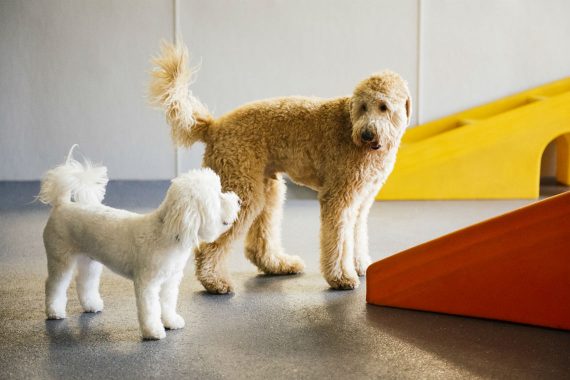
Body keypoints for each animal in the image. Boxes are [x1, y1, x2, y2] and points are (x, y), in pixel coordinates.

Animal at [37, 147, 237, 340]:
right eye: (217, 198)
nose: (238, 200)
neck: (167, 233)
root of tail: (62, 205)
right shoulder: (147, 283)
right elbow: (150, 310)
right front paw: (153, 331)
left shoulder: (170, 280)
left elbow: (168, 303)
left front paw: (171, 321)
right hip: (60, 259)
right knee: (54, 285)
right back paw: (54, 311)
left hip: (90, 261)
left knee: (84, 282)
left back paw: (92, 305)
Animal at [150, 43, 408, 292]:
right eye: (362, 107)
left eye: (383, 107)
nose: (366, 134)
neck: (350, 126)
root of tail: (214, 126)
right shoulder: (338, 199)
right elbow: (339, 241)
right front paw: (341, 277)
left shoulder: (361, 202)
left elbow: (356, 234)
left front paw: (360, 264)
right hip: (242, 192)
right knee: (207, 246)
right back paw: (215, 282)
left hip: (267, 190)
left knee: (258, 244)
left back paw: (279, 265)